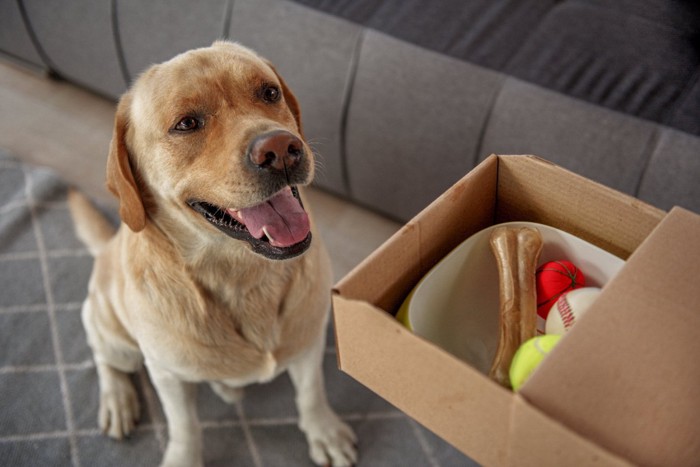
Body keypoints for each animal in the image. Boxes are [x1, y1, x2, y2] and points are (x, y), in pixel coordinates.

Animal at [69, 42, 356, 466]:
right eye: (187, 123)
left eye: (269, 92)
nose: (281, 149)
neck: (241, 273)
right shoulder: (167, 375)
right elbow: (185, 426)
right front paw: (183, 458)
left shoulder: (308, 340)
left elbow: (311, 392)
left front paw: (324, 430)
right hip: (115, 336)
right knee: (104, 357)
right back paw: (117, 399)